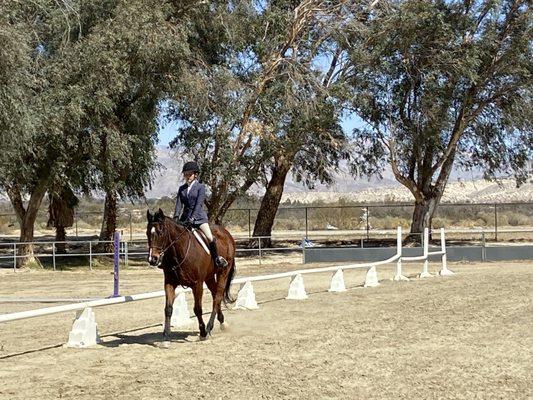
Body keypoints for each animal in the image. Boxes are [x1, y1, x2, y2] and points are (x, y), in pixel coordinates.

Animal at [147, 209, 236, 344]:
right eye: (147, 233)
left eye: (160, 232)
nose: (153, 260)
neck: (179, 251)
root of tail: (226, 233)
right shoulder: (169, 283)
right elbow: (168, 309)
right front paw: (166, 338)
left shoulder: (197, 284)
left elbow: (197, 309)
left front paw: (203, 333)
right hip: (209, 277)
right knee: (215, 294)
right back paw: (222, 322)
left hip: (223, 272)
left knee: (217, 297)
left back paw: (209, 327)